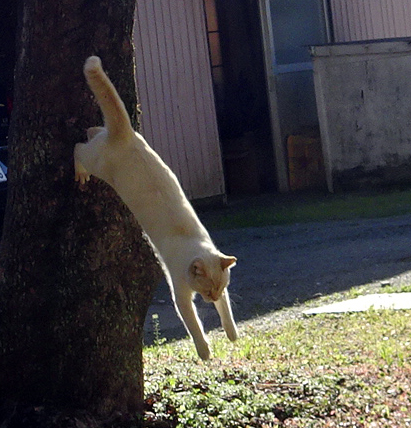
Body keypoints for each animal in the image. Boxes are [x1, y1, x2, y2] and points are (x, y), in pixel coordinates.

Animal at [74, 56, 238, 360]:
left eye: (220, 288)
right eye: (208, 289)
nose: (211, 297)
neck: (195, 244)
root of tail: (126, 134)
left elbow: (228, 315)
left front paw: (232, 335)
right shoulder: (181, 296)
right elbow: (194, 326)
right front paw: (205, 353)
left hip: (106, 144)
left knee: (94, 131)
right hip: (96, 163)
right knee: (78, 148)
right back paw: (79, 172)